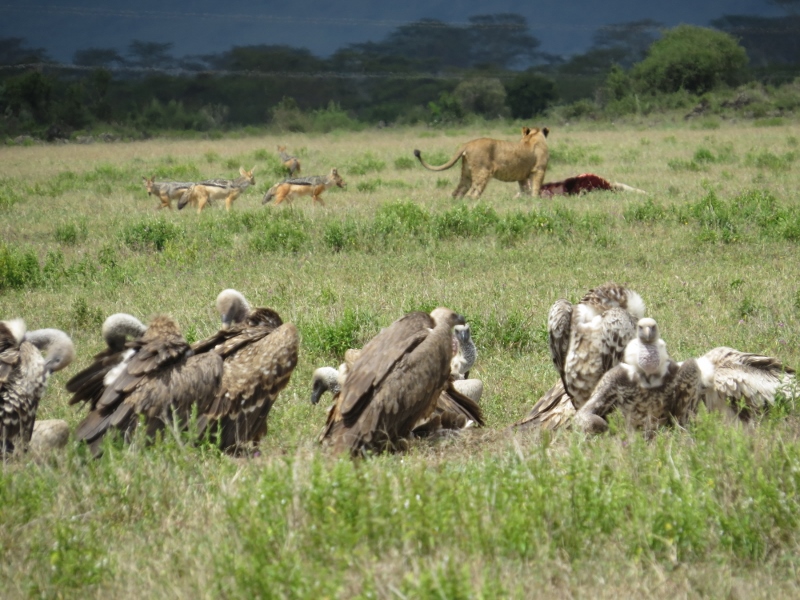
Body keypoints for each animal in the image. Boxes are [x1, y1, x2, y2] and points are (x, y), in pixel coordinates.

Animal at [414, 126, 550, 199]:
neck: (532, 137)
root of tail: (467, 144)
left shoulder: (522, 176)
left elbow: (525, 190)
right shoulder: (539, 170)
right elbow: (535, 189)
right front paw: (535, 201)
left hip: (467, 174)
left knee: (458, 192)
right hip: (483, 173)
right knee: (472, 194)